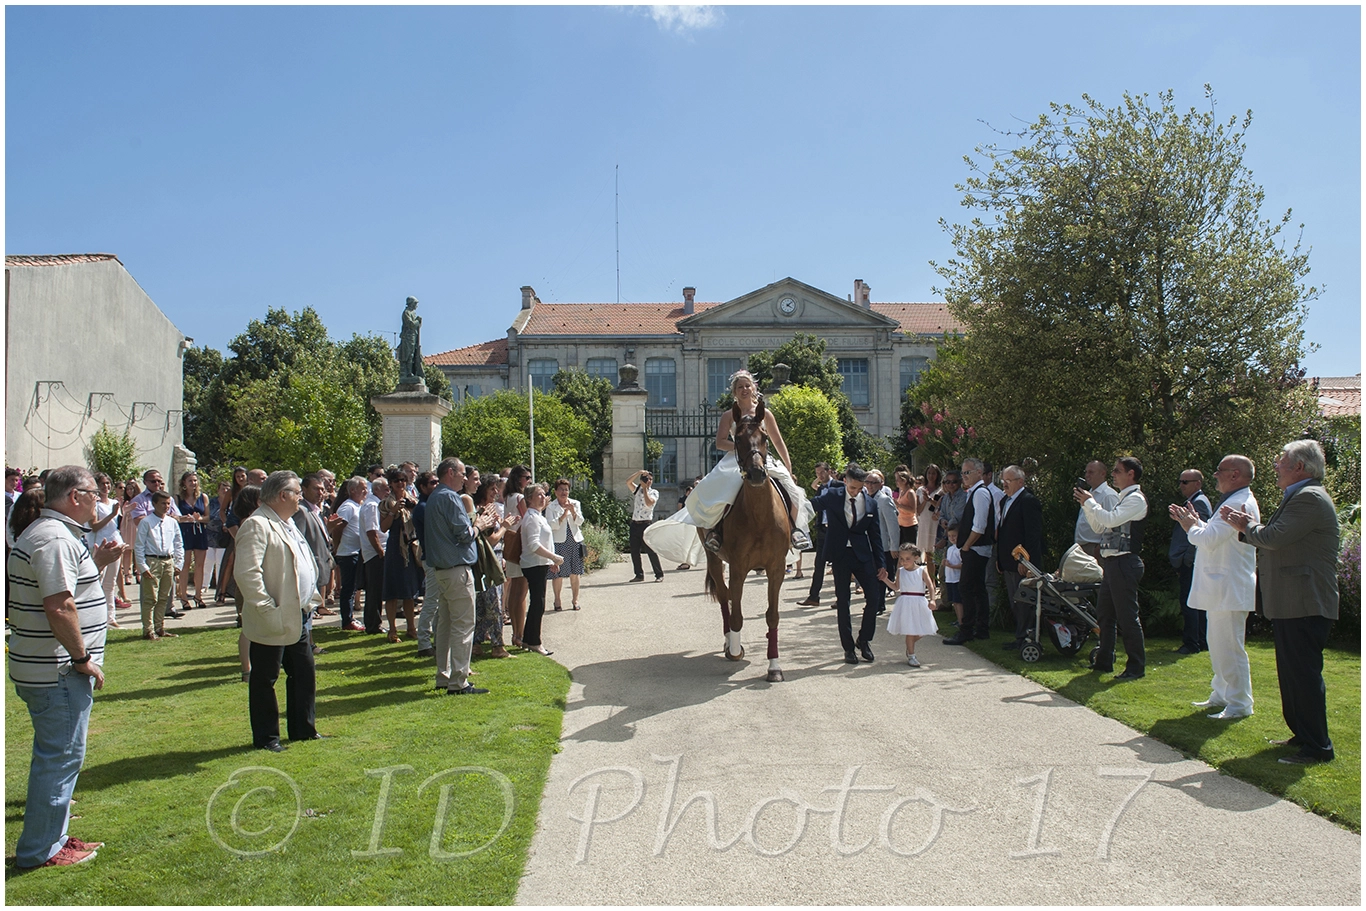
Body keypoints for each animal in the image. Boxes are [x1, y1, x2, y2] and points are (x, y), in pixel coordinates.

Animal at [704, 396, 792, 680]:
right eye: (738, 439)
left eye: (764, 437)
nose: (756, 474)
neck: (759, 516)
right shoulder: (738, 566)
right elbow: (737, 614)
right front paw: (734, 649)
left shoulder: (776, 568)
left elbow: (773, 615)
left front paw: (774, 666)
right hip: (714, 559)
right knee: (724, 597)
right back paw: (728, 641)